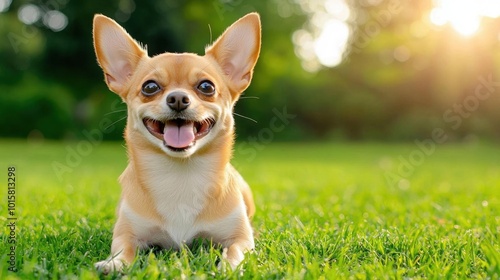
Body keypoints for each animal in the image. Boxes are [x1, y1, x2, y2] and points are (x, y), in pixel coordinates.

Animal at [91, 13, 260, 274]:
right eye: (150, 87)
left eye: (206, 86)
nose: (178, 98)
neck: (181, 175)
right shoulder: (127, 234)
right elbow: (123, 249)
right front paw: (114, 263)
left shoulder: (240, 238)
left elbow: (236, 250)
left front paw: (228, 266)